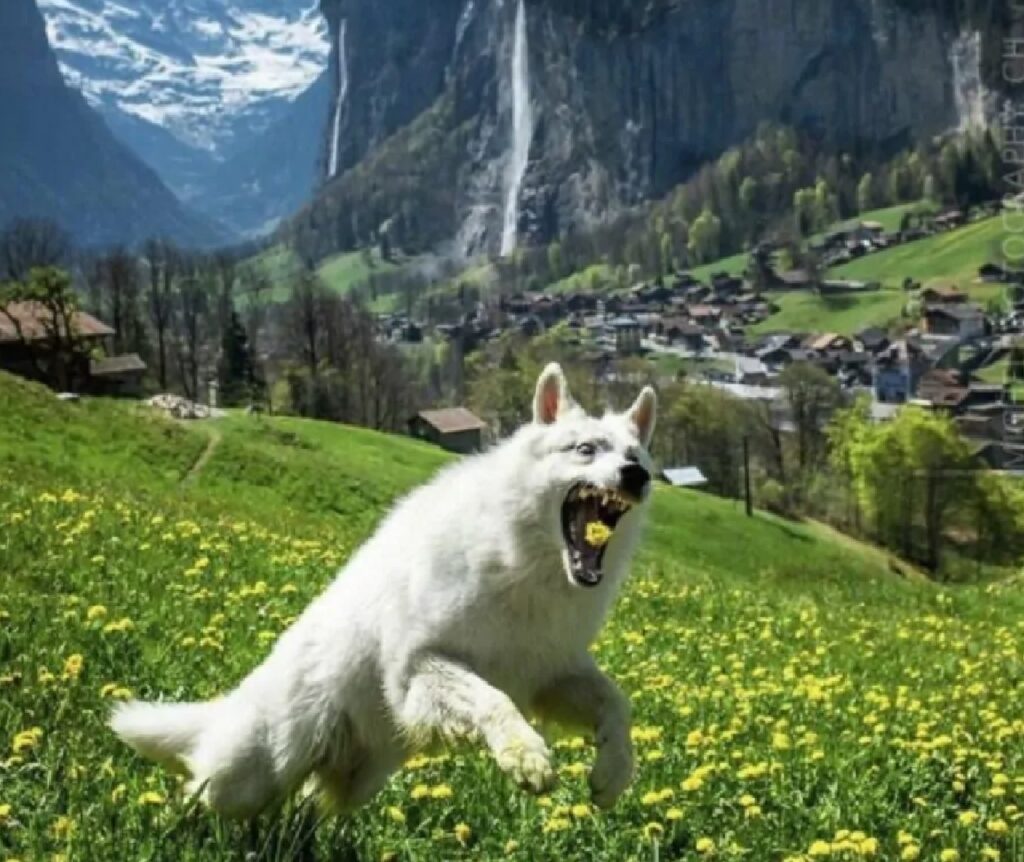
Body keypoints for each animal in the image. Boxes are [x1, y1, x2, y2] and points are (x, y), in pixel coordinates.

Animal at [112, 360, 655, 814]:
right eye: (585, 449)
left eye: (635, 455)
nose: (638, 476)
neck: (523, 566)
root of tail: (232, 702)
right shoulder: (421, 667)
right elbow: (491, 700)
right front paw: (525, 757)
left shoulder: (553, 674)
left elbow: (616, 702)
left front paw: (614, 773)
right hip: (249, 776)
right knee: (197, 793)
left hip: (353, 782)